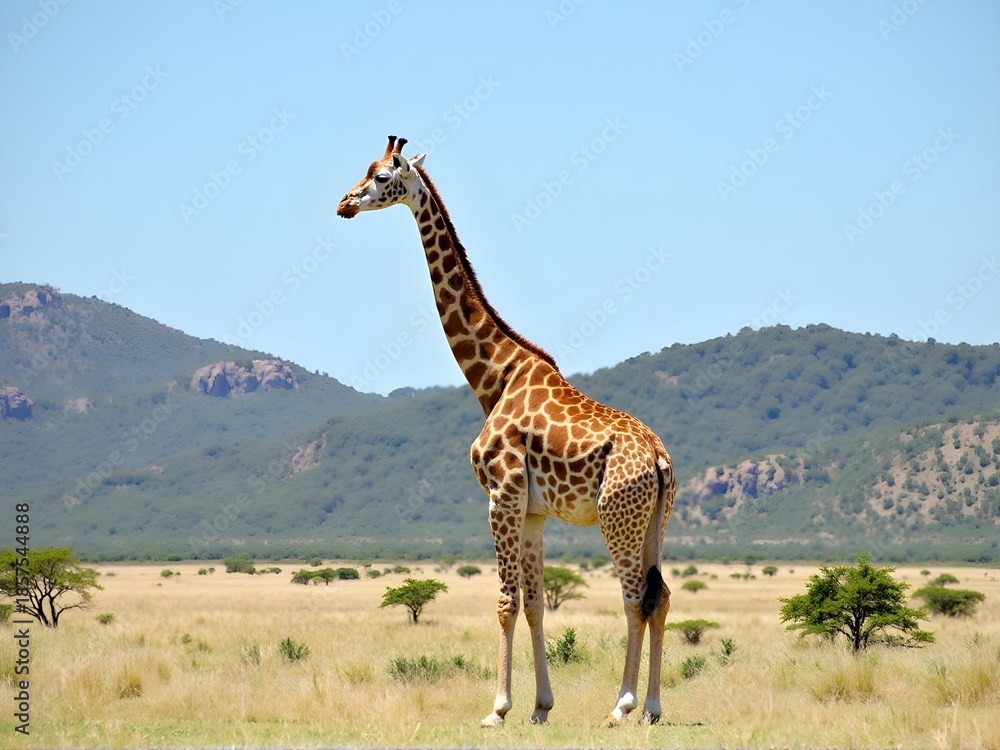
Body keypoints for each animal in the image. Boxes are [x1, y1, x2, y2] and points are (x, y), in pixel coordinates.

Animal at [336, 136, 675, 727]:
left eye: (380, 176)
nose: (343, 204)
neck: (493, 377)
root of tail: (659, 458)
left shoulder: (501, 493)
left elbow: (505, 602)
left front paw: (497, 709)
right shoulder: (534, 510)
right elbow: (536, 604)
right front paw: (540, 707)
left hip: (618, 517)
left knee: (635, 596)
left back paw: (623, 705)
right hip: (656, 520)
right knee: (660, 596)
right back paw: (652, 707)